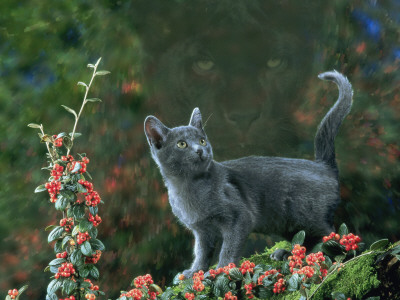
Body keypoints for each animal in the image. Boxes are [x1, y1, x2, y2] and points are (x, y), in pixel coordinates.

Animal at [144, 71, 354, 278]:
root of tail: (323, 165)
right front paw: (195, 271)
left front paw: (222, 269)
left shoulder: (240, 217)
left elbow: (228, 247)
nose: (200, 150)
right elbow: (202, 252)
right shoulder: (202, 231)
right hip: (286, 222)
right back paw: (286, 254)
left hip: (307, 216)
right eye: (182, 144)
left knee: (333, 237)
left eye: (202, 140)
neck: (188, 187)